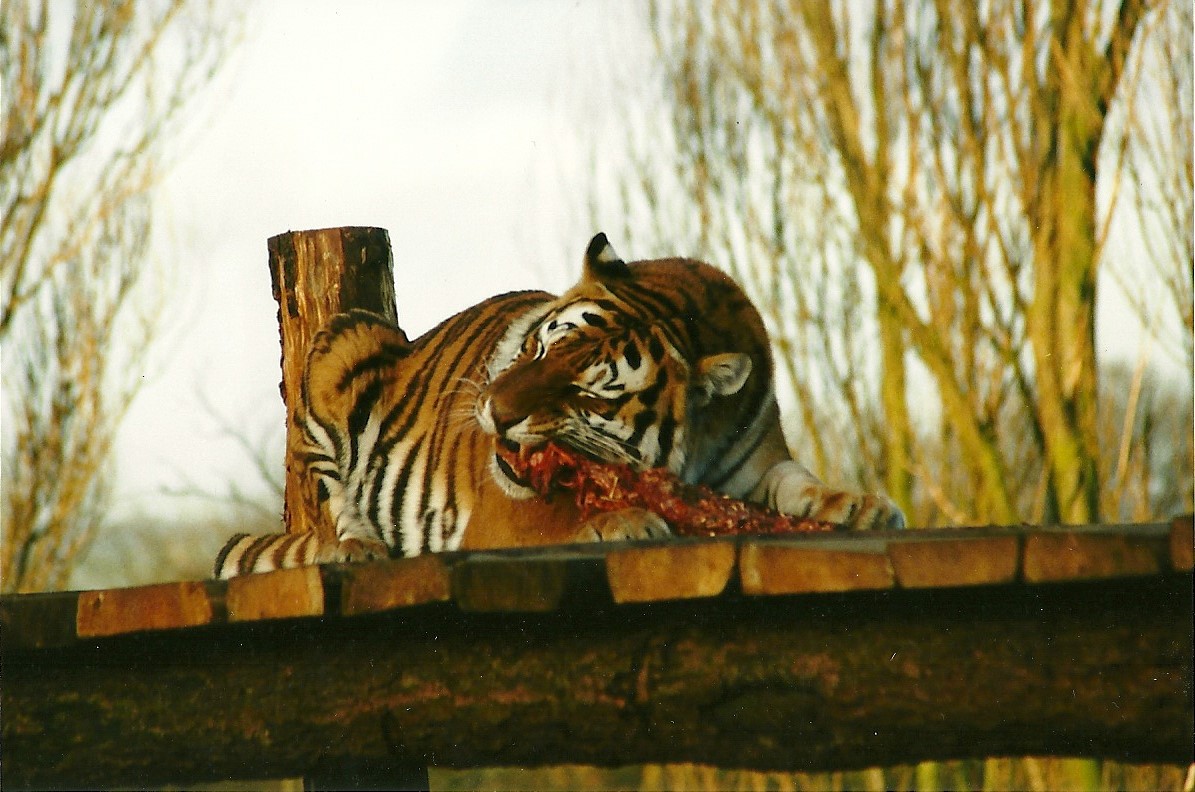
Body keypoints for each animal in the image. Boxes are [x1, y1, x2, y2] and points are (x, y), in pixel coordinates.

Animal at [215, 233, 904, 578]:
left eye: (587, 391)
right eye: (540, 347)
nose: (494, 412)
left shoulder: (757, 462)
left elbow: (798, 482)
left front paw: (859, 505)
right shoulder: (502, 514)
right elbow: (550, 517)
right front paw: (625, 520)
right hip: (347, 340)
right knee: (331, 508)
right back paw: (356, 546)